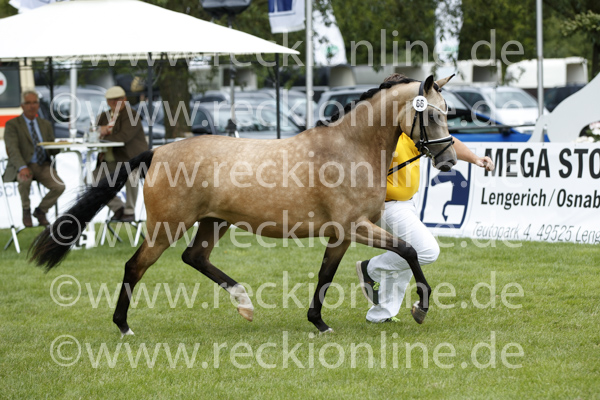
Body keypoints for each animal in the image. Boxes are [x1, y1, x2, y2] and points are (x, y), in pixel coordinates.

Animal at [30, 74, 457, 336]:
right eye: (433, 115)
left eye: (448, 113)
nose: (450, 160)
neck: (347, 148)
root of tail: (158, 151)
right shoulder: (354, 227)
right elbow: (408, 250)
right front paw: (420, 307)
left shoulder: (343, 234)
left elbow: (326, 275)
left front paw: (318, 322)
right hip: (166, 226)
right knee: (135, 266)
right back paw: (124, 326)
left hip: (213, 222)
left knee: (194, 257)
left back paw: (244, 303)